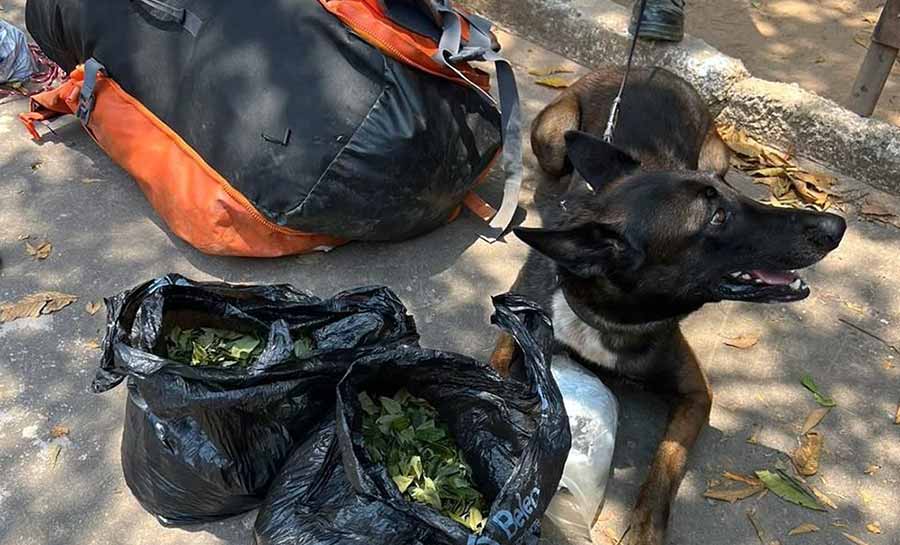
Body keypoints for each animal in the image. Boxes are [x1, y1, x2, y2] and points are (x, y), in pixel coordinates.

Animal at [488, 68, 848, 544]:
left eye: (730, 199)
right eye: (716, 218)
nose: (836, 226)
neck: (607, 315)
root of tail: (650, 68)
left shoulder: (696, 394)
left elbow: (667, 462)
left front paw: (644, 529)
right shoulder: (516, 320)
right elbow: (493, 368)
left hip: (715, 155)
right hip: (551, 135)